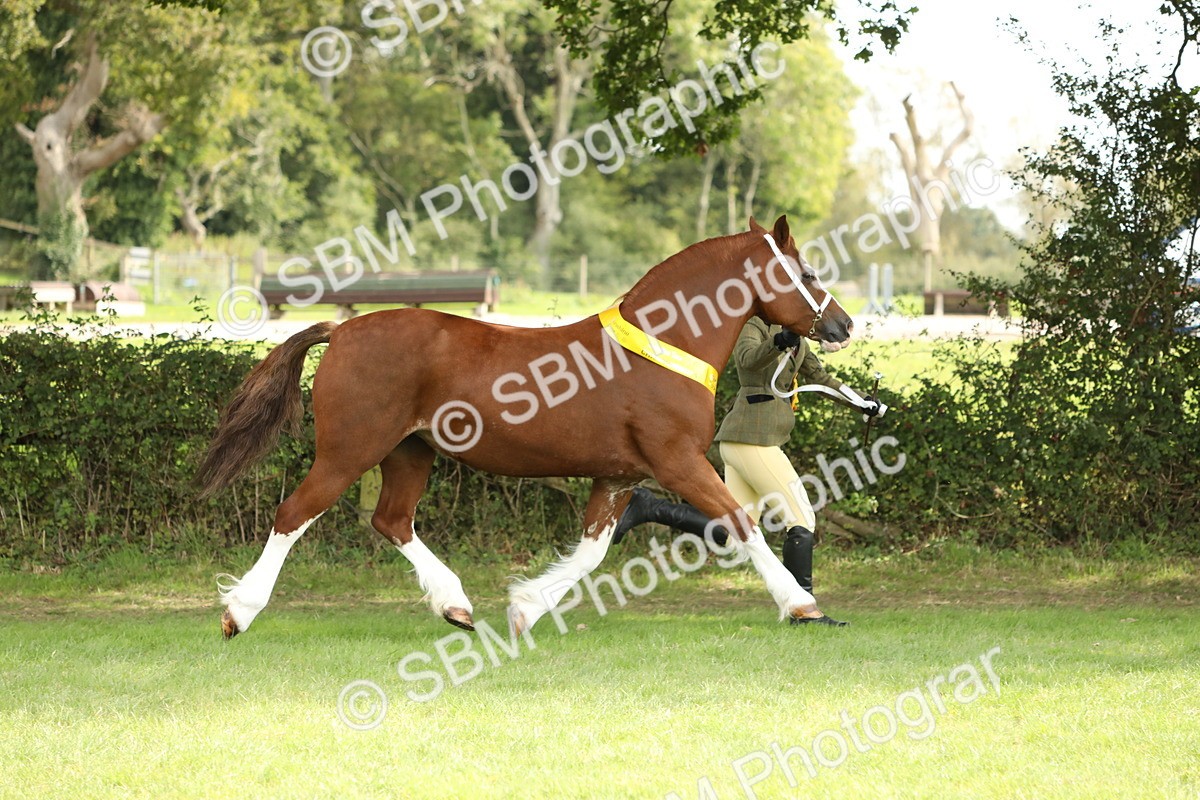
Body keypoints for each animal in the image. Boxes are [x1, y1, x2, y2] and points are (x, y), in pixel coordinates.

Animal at [197, 215, 854, 639]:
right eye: (806, 272)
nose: (843, 325)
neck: (660, 346)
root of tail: (342, 331)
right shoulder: (679, 462)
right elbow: (741, 524)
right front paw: (801, 605)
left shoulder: (618, 476)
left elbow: (591, 552)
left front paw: (526, 608)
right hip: (348, 451)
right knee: (294, 514)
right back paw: (239, 613)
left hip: (410, 451)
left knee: (392, 521)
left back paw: (456, 606)